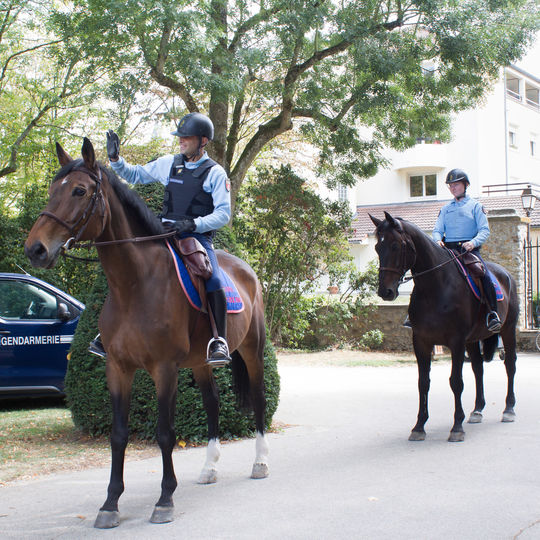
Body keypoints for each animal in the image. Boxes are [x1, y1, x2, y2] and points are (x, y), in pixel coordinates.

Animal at [25, 138, 270, 528]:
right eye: (52, 190)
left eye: (79, 191)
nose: (35, 249)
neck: (134, 284)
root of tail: (246, 270)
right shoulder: (118, 368)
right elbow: (118, 434)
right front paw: (110, 503)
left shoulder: (164, 369)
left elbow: (165, 433)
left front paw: (165, 499)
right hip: (200, 362)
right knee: (213, 404)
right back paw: (209, 467)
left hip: (252, 350)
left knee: (259, 398)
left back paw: (260, 461)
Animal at [372, 211, 520, 442]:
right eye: (378, 247)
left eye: (395, 245)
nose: (385, 292)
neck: (435, 287)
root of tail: (505, 274)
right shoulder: (421, 341)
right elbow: (423, 382)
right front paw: (419, 426)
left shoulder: (456, 341)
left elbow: (456, 381)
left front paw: (457, 427)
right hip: (473, 339)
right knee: (478, 368)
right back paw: (477, 410)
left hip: (507, 329)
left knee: (510, 365)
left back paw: (509, 409)